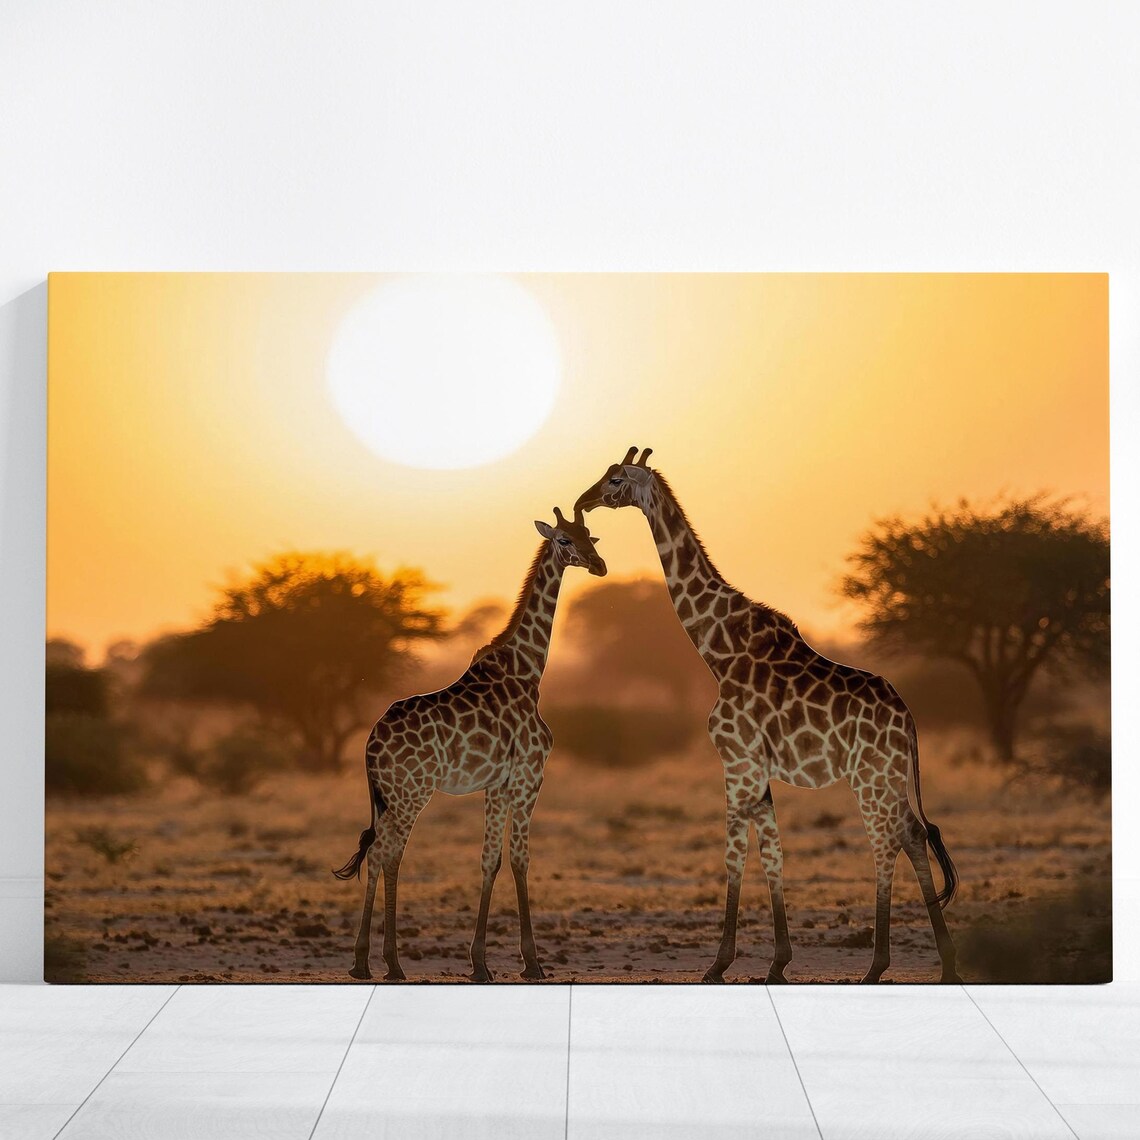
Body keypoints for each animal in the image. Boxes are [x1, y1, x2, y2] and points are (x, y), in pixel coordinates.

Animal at [333, 506, 607, 982]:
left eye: (589, 534)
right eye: (564, 540)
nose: (599, 564)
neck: (529, 670)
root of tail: (369, 745)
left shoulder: (497, 784)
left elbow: (489, 859)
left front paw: (480, 962)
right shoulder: (529, 777)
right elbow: (519, 859)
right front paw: (531, 962)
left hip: (388, 796)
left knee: (376, 852)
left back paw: (362, 962)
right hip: (412, 793)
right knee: (388, 853)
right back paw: (391, 963)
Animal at [575, 447, 961, 984]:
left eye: (614, 479)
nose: (582, 501)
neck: (716, 648)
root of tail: (908, 720)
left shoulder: (736, 759)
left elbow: (735, 853)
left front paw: (718, 964)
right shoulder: (755, 766)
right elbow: (772, 851)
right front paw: (777, 962)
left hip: (869, 775)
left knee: (889, 840)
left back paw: (878, 966)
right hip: (885, 775)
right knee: (914, 832)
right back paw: (944, 965)